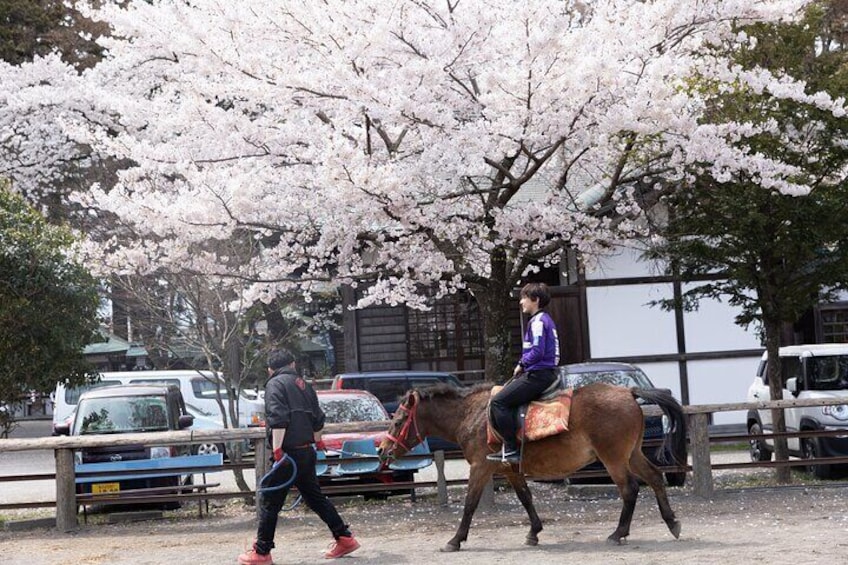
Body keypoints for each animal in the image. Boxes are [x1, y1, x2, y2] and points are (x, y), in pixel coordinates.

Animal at [378, 384, 688, 552]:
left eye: (399, 420)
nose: (383, 450)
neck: (472, 415)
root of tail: (629, 392)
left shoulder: (480, 467)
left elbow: (469, 505)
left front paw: (455, 540)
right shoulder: (510, 469)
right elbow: (526, 498)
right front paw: (534, 532)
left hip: (613, 458)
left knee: (630, 489)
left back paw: (618, 533)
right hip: (632, 454)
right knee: (655, 478)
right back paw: (672, 522)